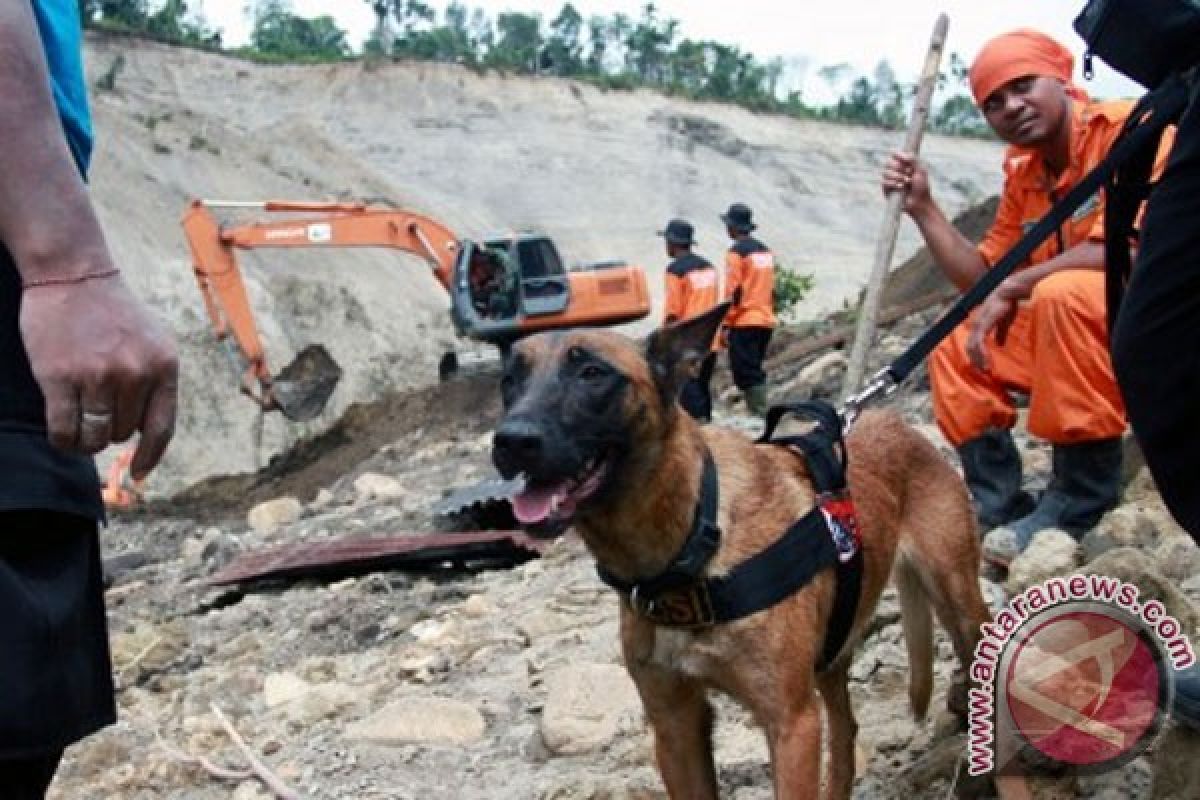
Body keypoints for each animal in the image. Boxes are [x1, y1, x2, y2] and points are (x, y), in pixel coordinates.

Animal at [492, 303, 998, 796]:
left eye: (592, 372)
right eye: (510, 379)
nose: (510, 440)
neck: (689, 546)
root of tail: (894, 420)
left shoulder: (791, 723)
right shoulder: (675, 728)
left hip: (958, 601)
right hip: (831, 651)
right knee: (845, 730)